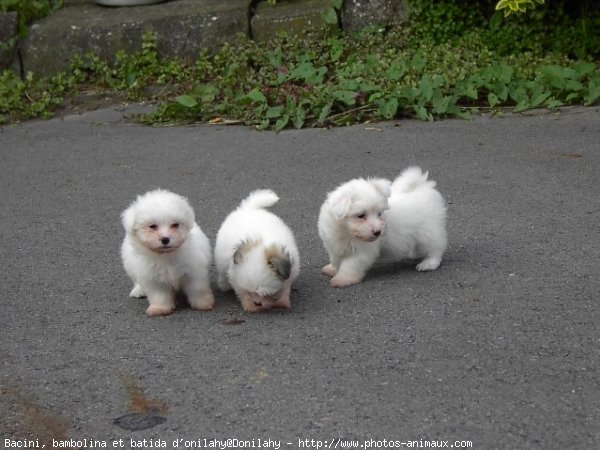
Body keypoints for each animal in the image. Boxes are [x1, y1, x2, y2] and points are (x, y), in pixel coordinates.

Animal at [318, 166, 446, 288]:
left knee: (435, 248)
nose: (378, 232)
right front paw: (332, 269)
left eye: (379, 214)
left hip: (429, 231)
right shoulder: (332, 245)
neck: (346, 231)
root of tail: (423, 187)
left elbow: (350, 265)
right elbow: (335, 259)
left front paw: (342, 279)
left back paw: (429, 263)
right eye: (361, 215)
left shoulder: (362, 252)